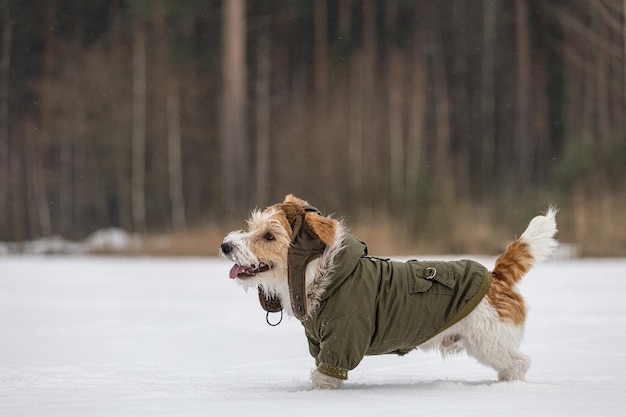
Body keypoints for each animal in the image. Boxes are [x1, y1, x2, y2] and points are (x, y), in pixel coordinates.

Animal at [219, 193, 556, 388]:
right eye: (252, 227)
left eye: (269, 236)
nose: (225, 245)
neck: (323, 275)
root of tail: (495, 276)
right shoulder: (321, 346)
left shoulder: (339, 345)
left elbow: (324, 380)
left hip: (489, 341)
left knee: (520, 363)